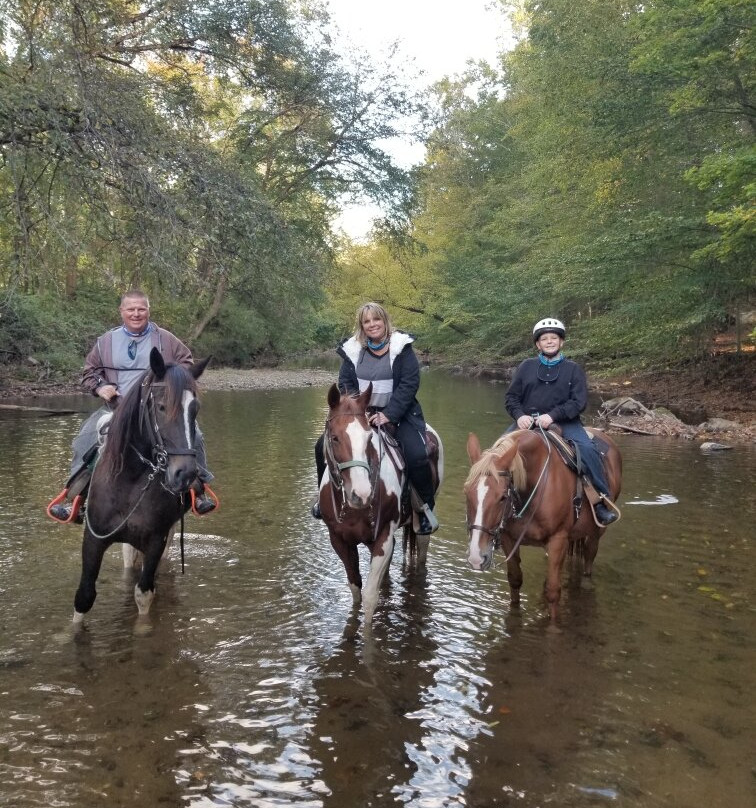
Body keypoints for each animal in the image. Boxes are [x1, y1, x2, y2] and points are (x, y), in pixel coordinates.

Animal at [74, 348, 210, 624]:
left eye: (195, 410)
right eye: (161, 406)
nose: (185, 474)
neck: (129, 482)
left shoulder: (156, 540)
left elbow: (145, 593)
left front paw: (143, 629)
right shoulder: (93, 538)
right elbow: (84, 596)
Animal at [318, 382, 442, 620]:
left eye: (369, 438)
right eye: (335, 437)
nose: (361, 494)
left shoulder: (383, 536)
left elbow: (370, 598)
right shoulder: (338, 540)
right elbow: (355, 588)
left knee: (422, 547)